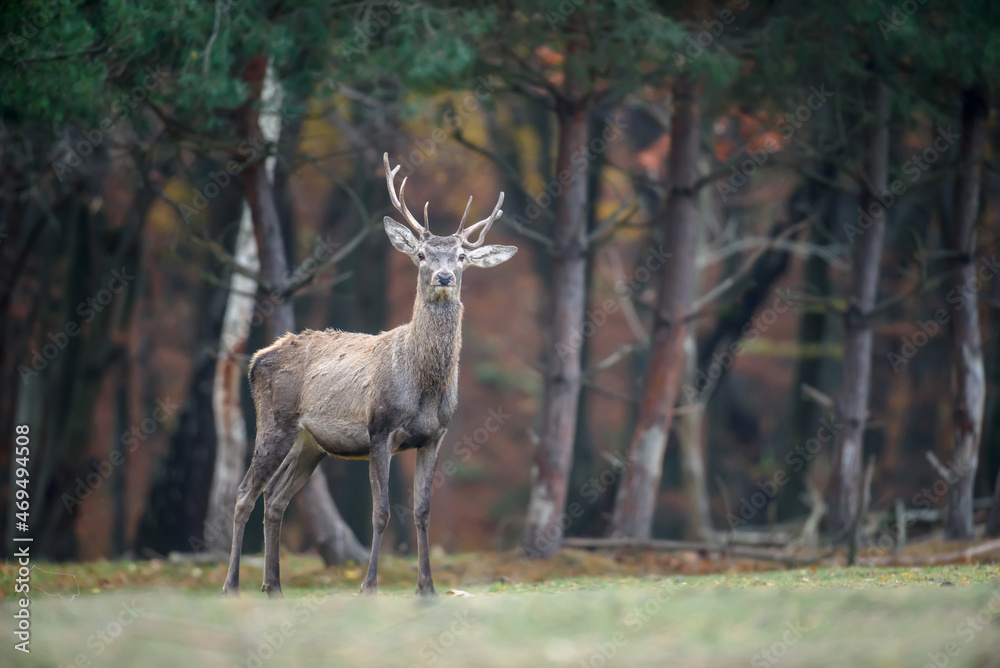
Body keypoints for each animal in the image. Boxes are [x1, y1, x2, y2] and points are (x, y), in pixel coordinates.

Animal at [224, 154, 520, 596]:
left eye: (462, 257)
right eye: (421, 254)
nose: (444, 277)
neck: (423, 389)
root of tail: (257, 359)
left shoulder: (435, 436)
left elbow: (422, 511)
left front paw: (427, 588)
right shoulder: (379, 428)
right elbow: (380, 512)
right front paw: (369, 587)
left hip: (310, 442)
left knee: (275, 498)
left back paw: (273, 586)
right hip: (274, 421)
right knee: (244, 493)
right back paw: (232, 586)